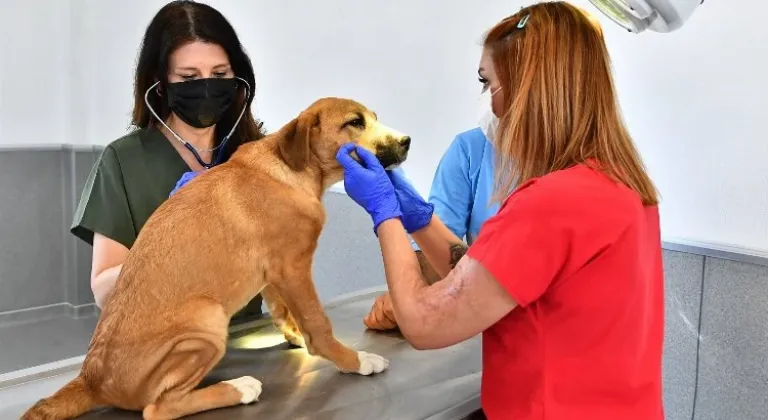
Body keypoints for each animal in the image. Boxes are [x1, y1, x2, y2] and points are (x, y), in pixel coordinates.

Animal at [21, 97, 412, 418]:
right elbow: (318, 322)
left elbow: (285, 312)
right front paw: (354, 360)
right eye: (355, 122)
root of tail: (92, 380)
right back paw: (238, 388)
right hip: (207, 318)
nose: (407, 140)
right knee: (157, 409)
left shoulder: (274, 272)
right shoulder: (294, 267)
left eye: (374, 118)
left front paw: (298, 338)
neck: (292, 169)